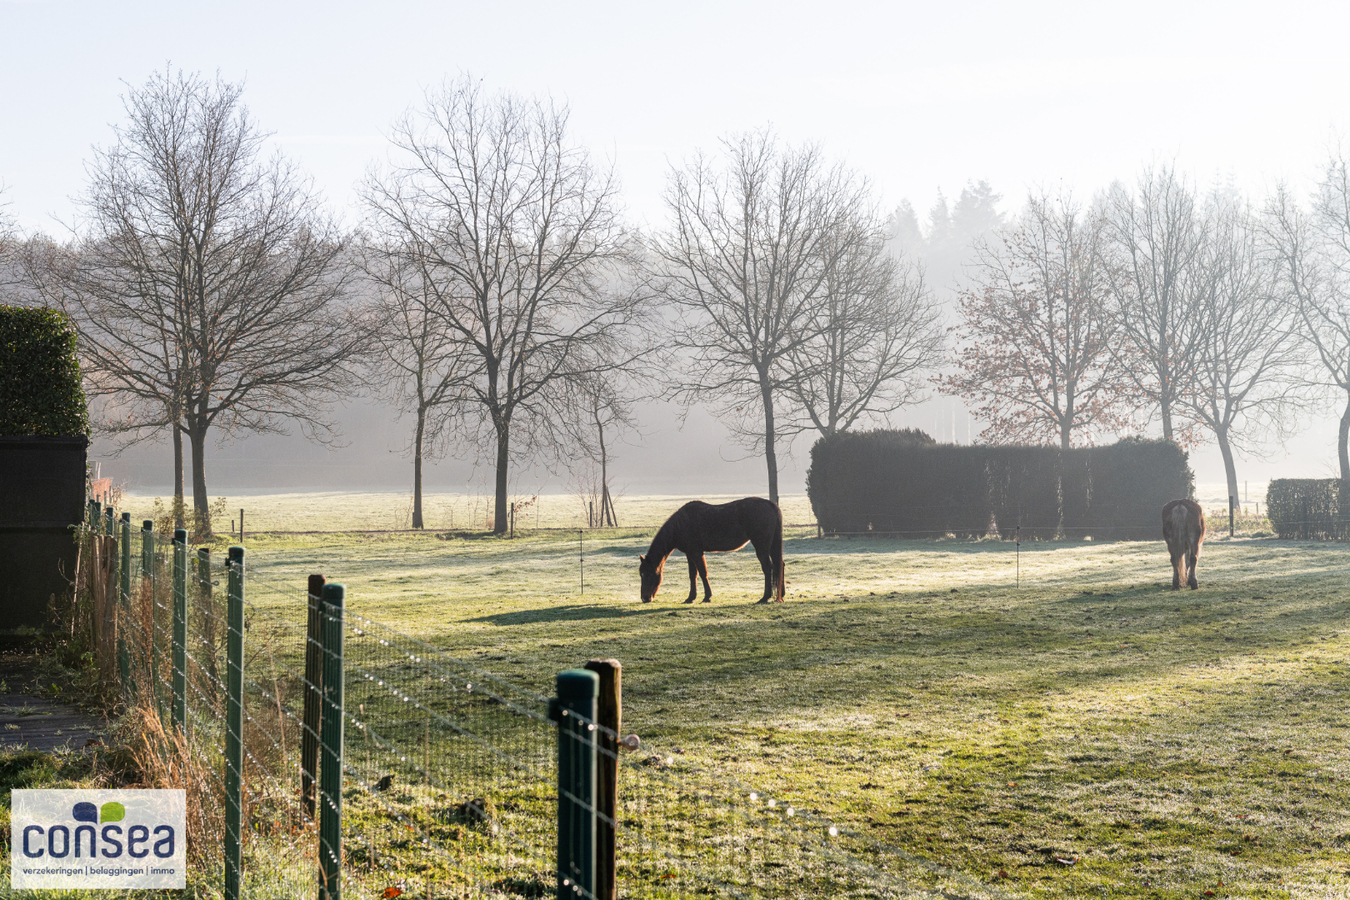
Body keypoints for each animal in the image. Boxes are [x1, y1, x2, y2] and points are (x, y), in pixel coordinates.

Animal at [637, 499, 788, 604]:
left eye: (648, 574)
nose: (645, 598)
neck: (680, 524)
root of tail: (771, 505)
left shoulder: (696, 553)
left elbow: (703, 573)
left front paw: (707, 597)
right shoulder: (689, 554)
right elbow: (693, 575)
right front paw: (690, 598)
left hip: (761, 546)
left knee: (768, 567)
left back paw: (765, 597)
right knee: (780, 564)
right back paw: (781, 593)